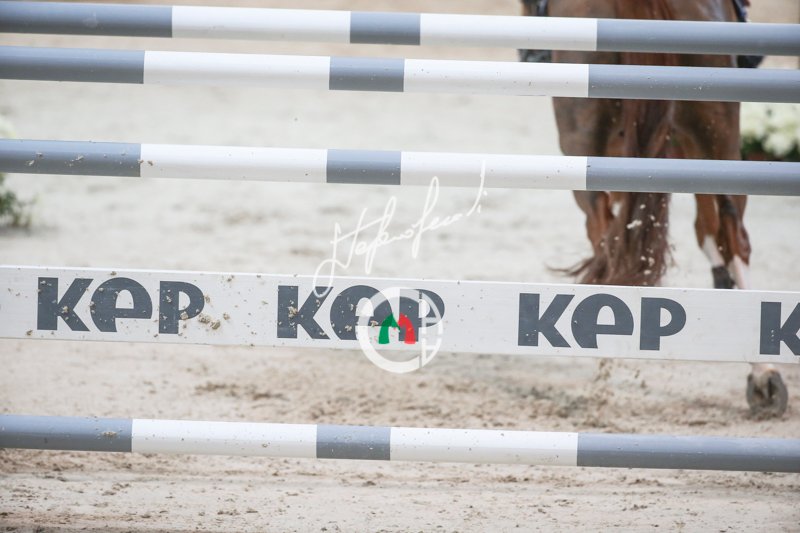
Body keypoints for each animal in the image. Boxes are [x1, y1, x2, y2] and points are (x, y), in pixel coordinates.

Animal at [519, 0, 788, 417]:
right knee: (730, 232)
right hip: (717, 131)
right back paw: (765, 375)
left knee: (606, 235)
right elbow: (706, 228)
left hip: (586, 148)